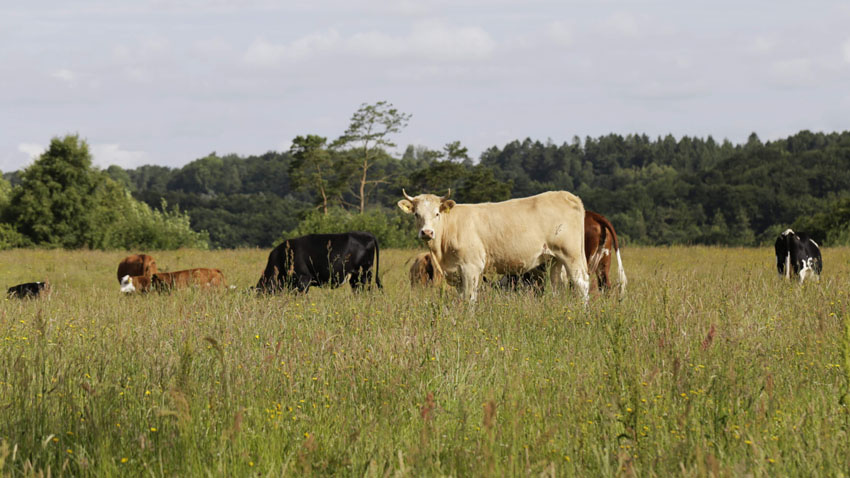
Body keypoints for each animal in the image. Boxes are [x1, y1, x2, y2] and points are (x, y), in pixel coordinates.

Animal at [396, 189, 584, 300]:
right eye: (416, 214)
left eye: (437, 213)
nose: (427, 232)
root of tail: (566, 195)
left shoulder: (471, 268)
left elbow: (469, 297)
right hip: (555, 259)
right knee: (558, 286)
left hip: (572, 254)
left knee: (581, 282)